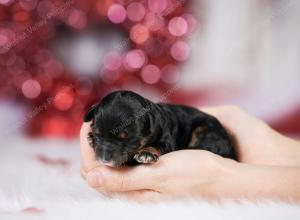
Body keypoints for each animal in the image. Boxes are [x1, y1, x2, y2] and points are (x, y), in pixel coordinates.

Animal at [83, 90, 236, 167]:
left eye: (128, 140)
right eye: (97, 134)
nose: (103, 159)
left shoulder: (167, 139)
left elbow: (157, 146)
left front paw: (146, 153)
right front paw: (90, 138)